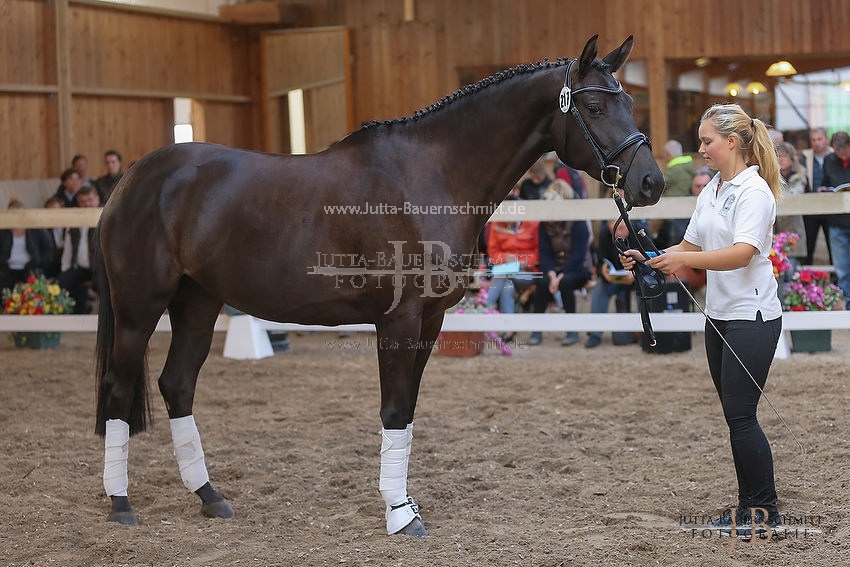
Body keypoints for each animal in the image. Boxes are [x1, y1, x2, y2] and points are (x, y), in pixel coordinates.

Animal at [93, 35, 664, 536]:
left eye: (631, 101)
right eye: (594, 106)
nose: (650, 182)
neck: (431, 176)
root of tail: (133, 180)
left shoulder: (430, 320)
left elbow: (406, 411)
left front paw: (403, 501)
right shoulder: (398, 318)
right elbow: (392, 409)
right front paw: (400, 514)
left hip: (199, 301)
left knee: (177, 385)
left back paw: (209, 496)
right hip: (140, 307)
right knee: (119, 389)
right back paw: (121, 504)